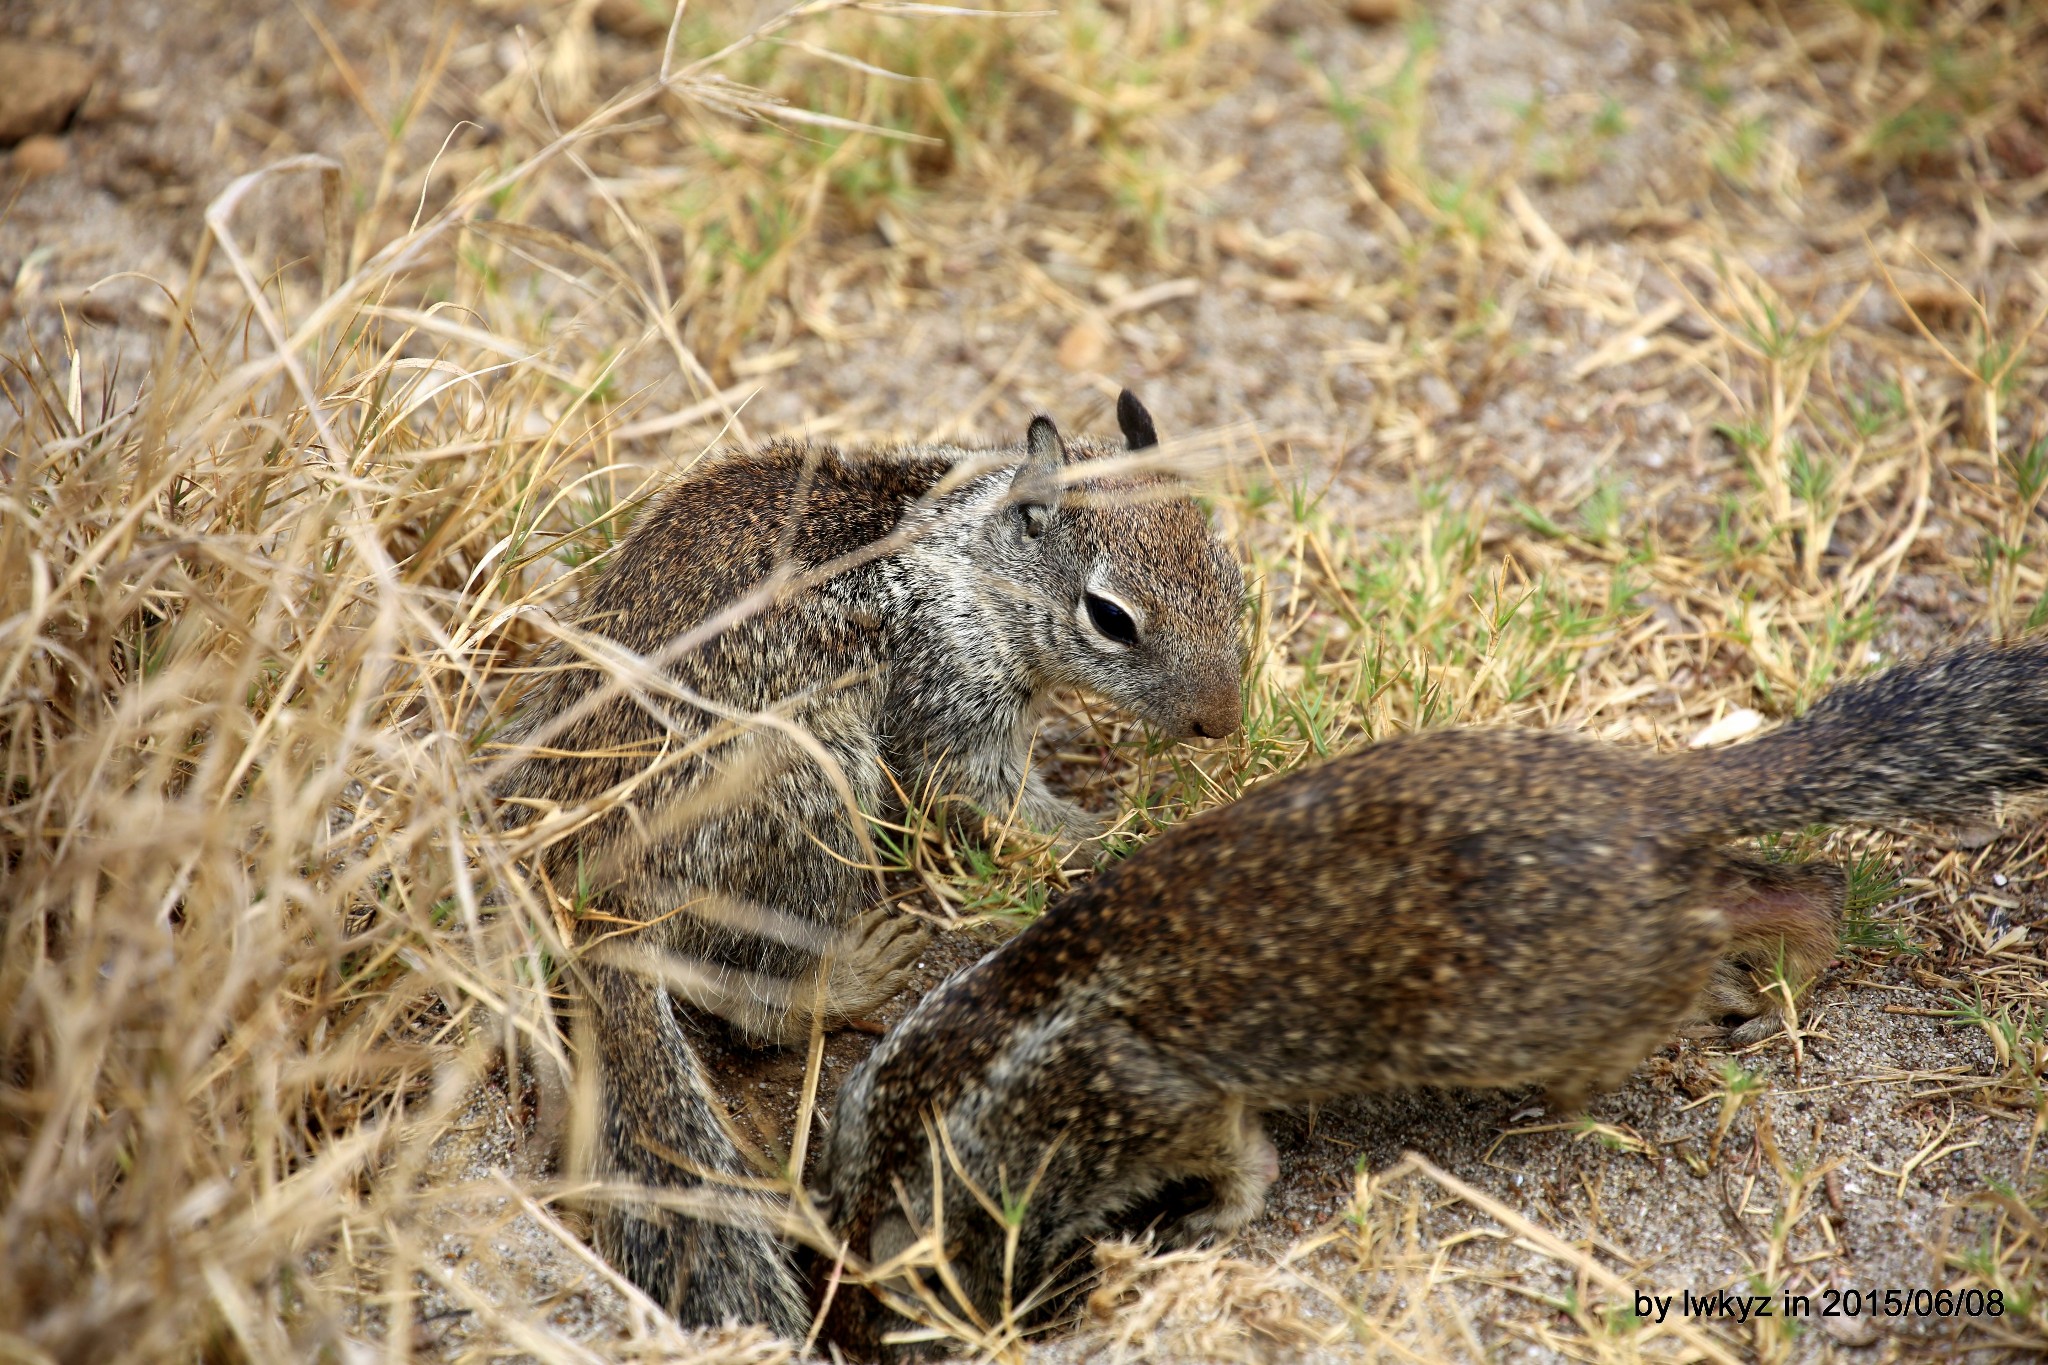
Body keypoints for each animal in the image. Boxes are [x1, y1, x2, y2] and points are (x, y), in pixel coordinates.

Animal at [495, 392, 1245, 1334]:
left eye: (1227, 566)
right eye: (1110, 617)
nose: (1226, 719)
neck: (968, 552)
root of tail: (584, 893)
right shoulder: (951, 695)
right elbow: (986, 798)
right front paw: (1124, 839)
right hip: (815, 796)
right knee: (753, 999)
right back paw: (846, 978)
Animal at [819, 634, 2048, 1350]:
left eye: (904, 1312)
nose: (1010, 1329)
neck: (974, 1078)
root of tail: (1644, 789)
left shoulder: (1150, 1099)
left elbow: (1241, 1164)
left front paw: (1199, 1227)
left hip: (1543, 1002)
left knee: (1737, 923)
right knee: (1795, 884)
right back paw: (1778, 978)